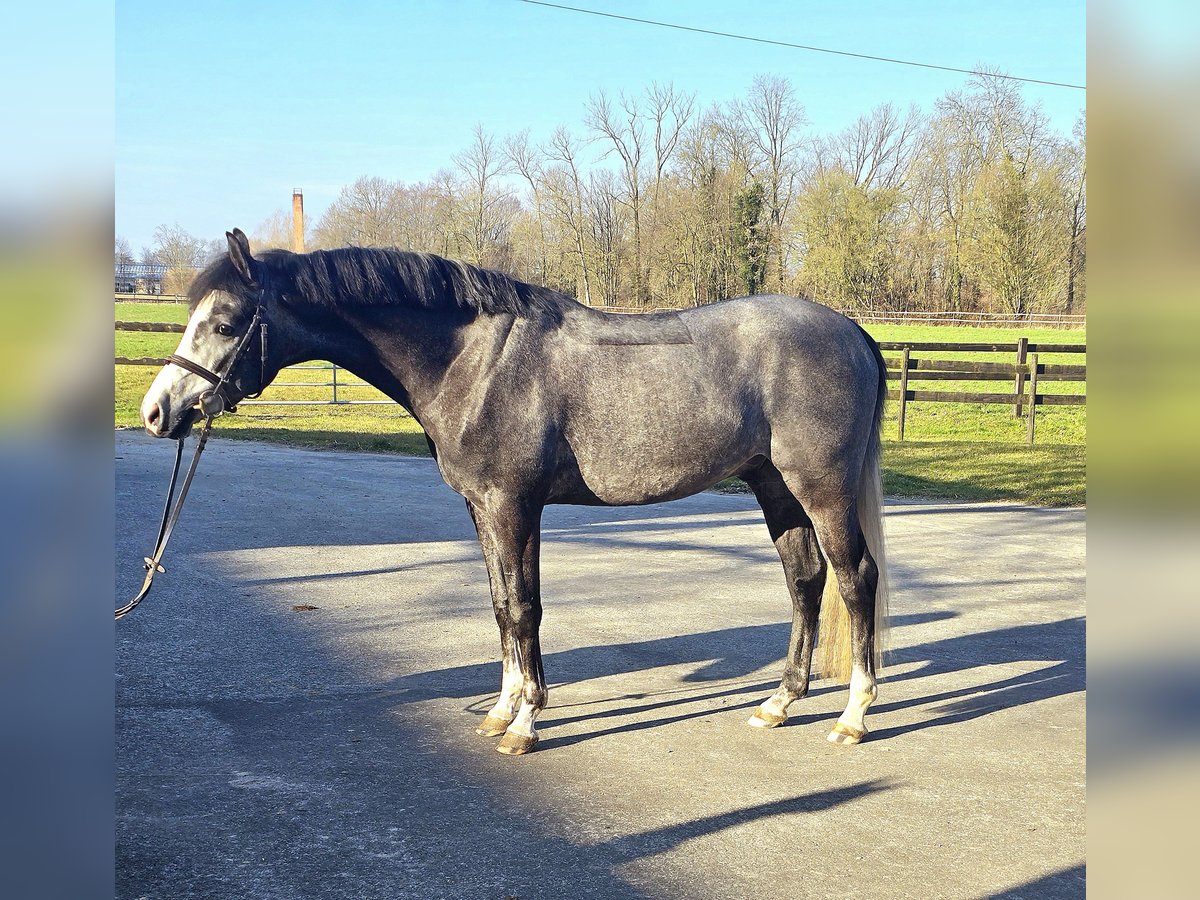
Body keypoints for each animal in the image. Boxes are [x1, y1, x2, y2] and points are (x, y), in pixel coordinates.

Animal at [142, 229, 892, 758]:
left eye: (226, 323)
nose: (158, 412)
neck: (474, 363)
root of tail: (852, 331)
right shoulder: (484, 509)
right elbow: (504, 607)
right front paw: (504, 709)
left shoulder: (511, 506)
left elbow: (526, 609)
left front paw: (526, 723)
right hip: (774, 485)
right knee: (804, 580)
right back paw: (779, 703)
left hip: (821, 489)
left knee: (855, 579)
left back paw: (854, 716)